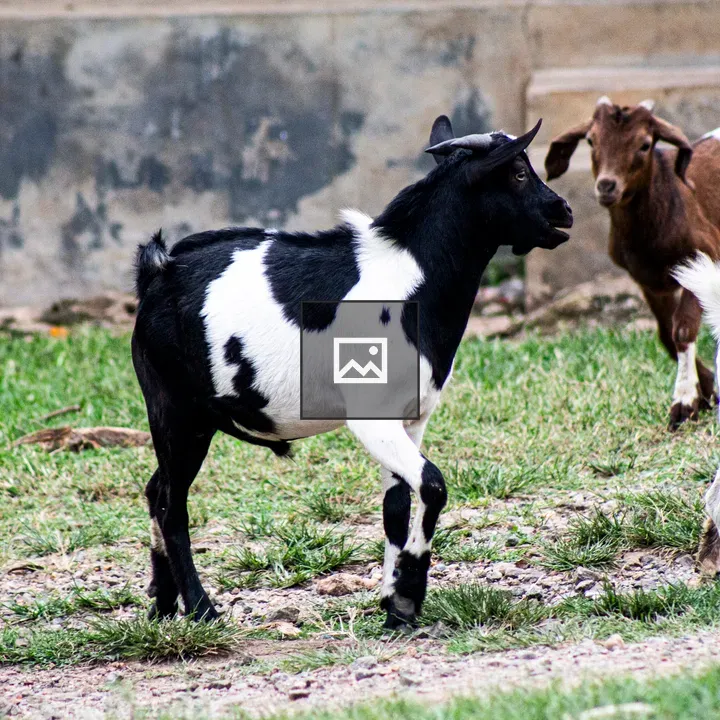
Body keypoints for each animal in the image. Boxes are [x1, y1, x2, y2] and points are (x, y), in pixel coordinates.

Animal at [132, 116, 573, 627]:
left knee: (156, 488)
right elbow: (433, 485)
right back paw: (202, 609)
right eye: (518, 172)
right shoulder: (371, 418)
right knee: (171, 503)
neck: (411, 282)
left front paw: (395, 607)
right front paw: (407, 594)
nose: (564, 211)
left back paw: (163, 602)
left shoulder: (411, 417)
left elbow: (397, 507)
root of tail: (158, 270)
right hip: (176, 410)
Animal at [545, 98, 720, 429]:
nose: (607, 186)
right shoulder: (646, 279)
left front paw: (683, 402)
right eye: (591, 140)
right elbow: (666, 334)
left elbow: (682, 329)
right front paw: (705, 391)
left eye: (645, 144)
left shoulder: (705, 254)